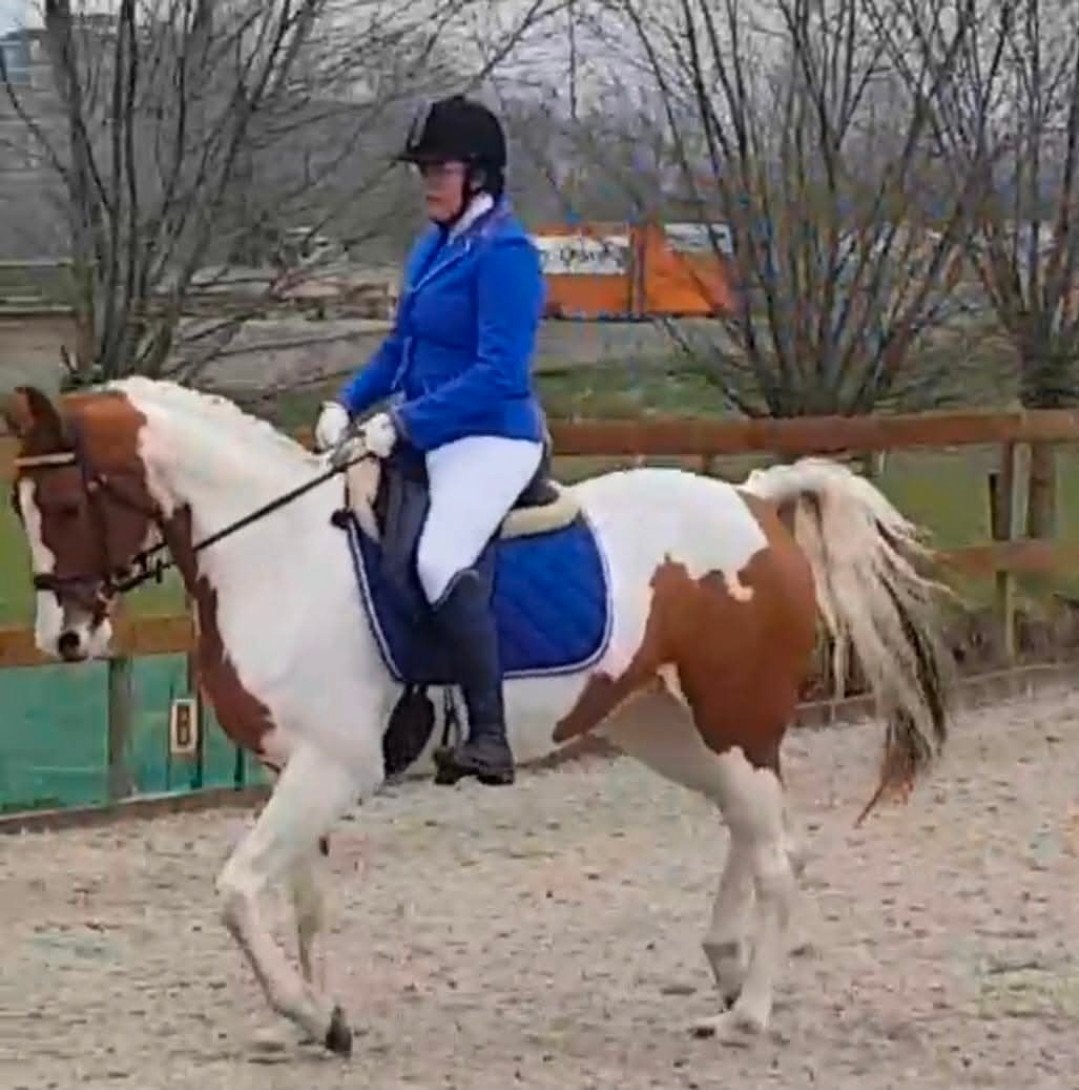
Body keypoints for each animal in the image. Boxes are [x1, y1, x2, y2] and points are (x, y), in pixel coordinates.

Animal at [0, 376, 955, 1056]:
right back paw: (726, 969)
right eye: (23, 508)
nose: (66, 638)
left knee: (776, 854)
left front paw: (305, 1013)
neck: (278, 557)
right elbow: (302, 904)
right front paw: (313, 1018)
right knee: (750, 831)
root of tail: (753, 499)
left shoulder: (331, 768)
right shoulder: (291, 767)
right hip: (663, 725)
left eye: (68, 505)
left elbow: (237, 891)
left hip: (733, 720)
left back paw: (747, 1013)